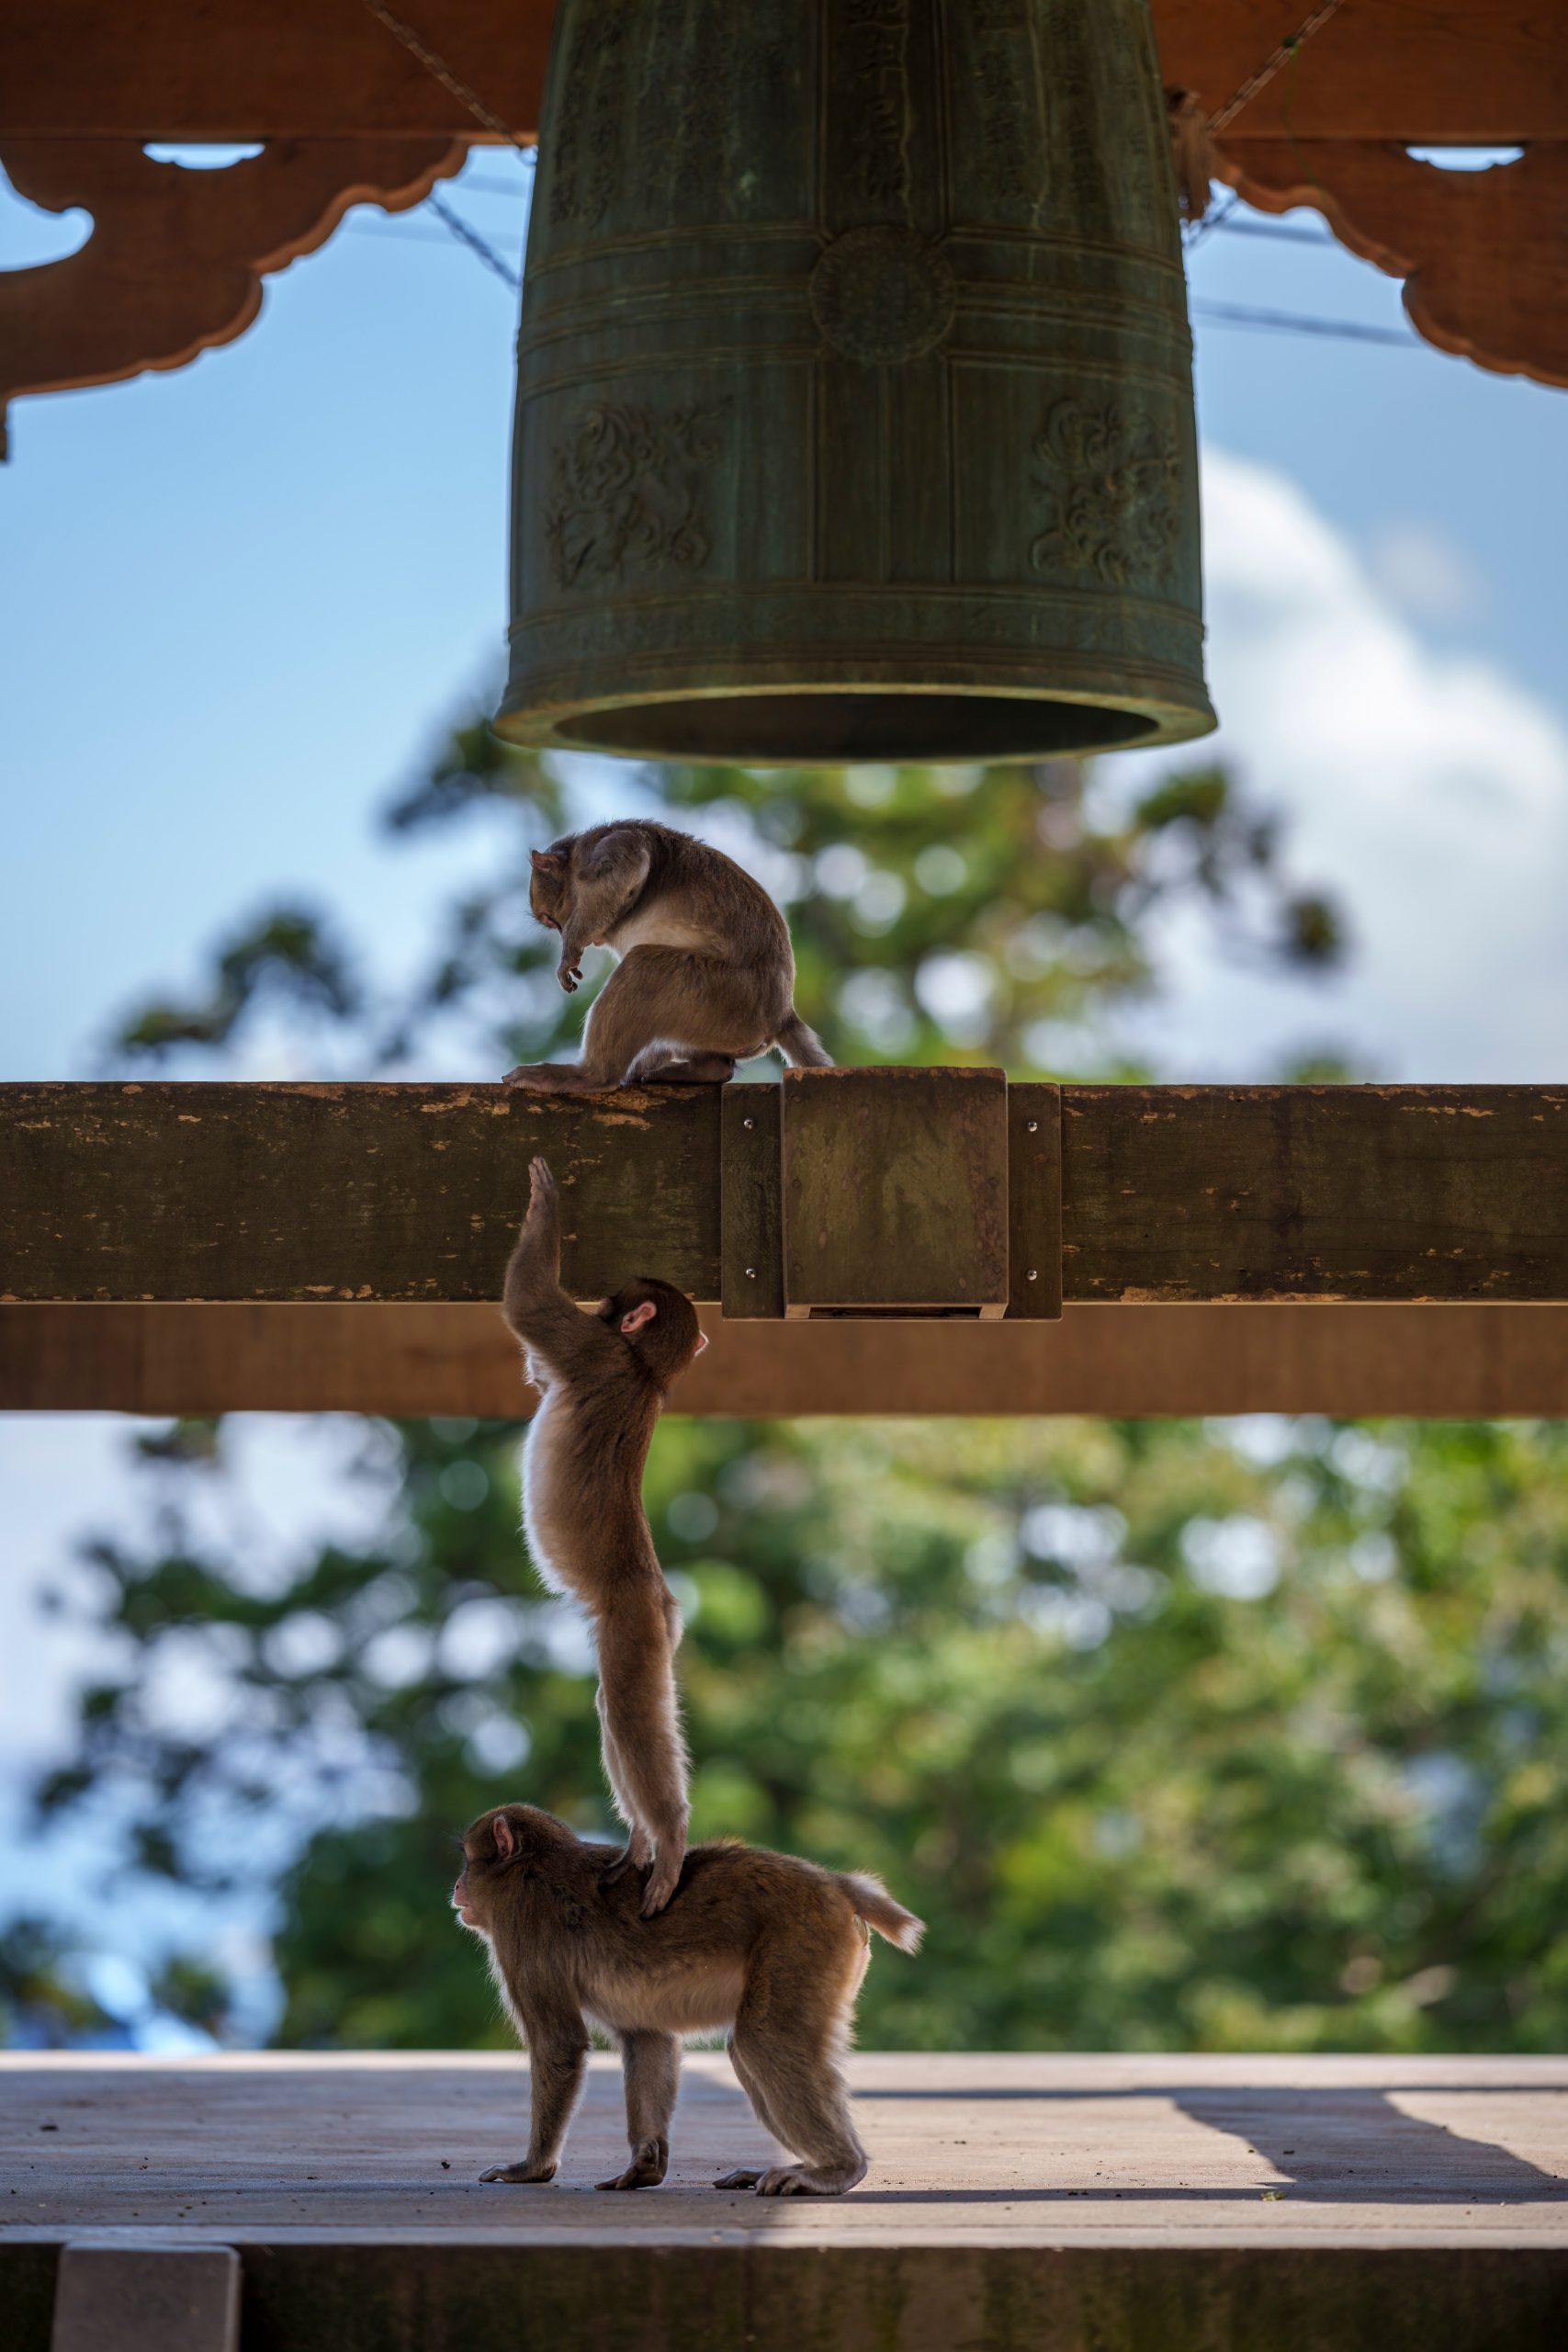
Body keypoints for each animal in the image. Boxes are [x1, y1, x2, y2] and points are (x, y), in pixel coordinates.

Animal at [451, 1806, 921, 2191]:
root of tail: (836, 1884)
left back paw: (838, 2169)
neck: (529, 1869)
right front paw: (645, 2165)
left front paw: (532, 2168)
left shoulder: (522, 1928)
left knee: (764, 2041)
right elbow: (647, 2039)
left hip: (801, 1939)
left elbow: (559, 2044)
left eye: (468, 1861)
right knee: (750, 2049)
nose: (457, 1885)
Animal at [502, 818, 831, 1091]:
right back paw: (709, 1069)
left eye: (550, 920)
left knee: (644, 967)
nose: (578, 936)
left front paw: (570, 947)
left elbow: (629, 866)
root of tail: (782, 1015)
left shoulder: (608, 844)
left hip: (728, 998)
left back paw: (592, 1075)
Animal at [502, 1152, 705, 1909]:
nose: (608, 1304)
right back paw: (643, 1838)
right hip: (649, 1632)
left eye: (617, 1302)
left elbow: (528, 1307)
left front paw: (546, 1207)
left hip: (631, 1624)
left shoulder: (592, 1348)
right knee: (613, 1712)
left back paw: (669, 1834)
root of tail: (664, 1602)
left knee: (625, 1710)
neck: (646, 1373)